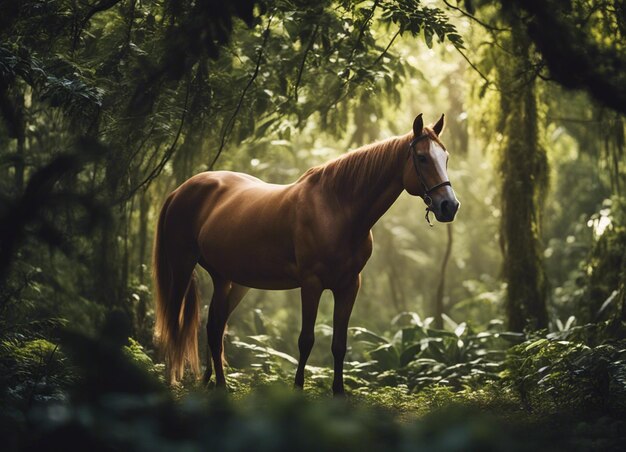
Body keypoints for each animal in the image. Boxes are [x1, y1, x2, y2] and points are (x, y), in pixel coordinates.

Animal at [154, 114, 456, 396]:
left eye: (446, 157)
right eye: (422, 158)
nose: (449, 206)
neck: (336, 209)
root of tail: (181, 190)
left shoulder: (349, 286)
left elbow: (339, 344)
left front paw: (339, 393)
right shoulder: (311, 284)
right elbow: (306, 340)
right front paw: (298, 390)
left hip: (227, 279)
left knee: (215, 328)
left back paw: (218, 385)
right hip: (182, 268)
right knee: (175, 322)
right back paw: (174, 382)